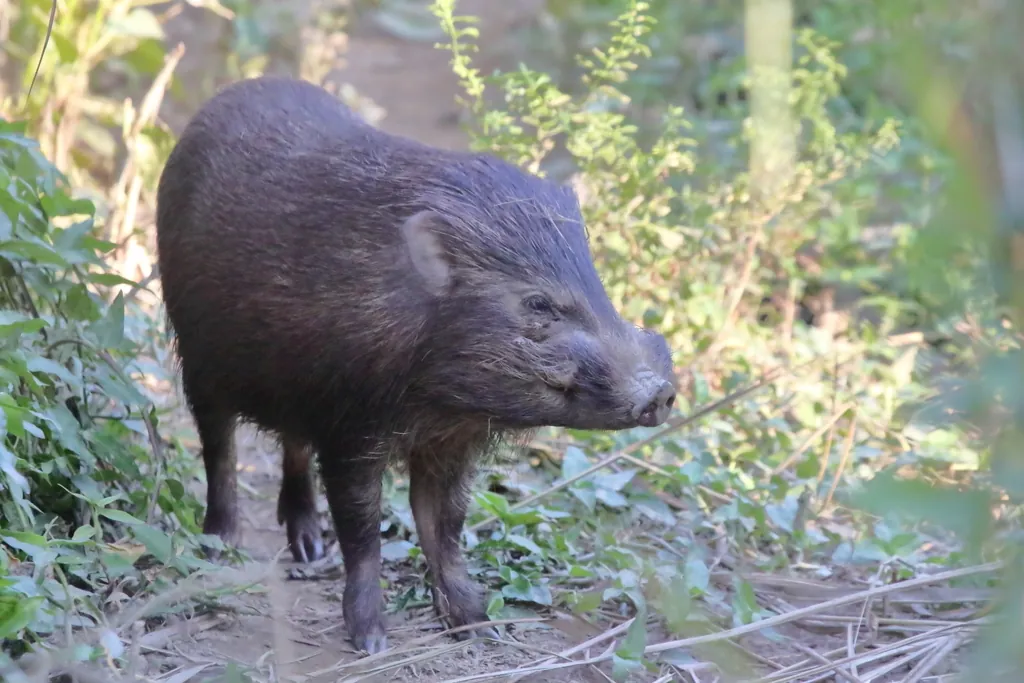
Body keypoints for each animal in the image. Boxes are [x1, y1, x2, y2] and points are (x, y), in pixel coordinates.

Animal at [155, 75, 677, 654]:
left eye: (599, 286)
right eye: (538, 304)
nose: (661, 391)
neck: (438, 399)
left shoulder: (448, 443)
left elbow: (443, 527)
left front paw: (479, 627)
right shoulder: (352, 429)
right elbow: (363, 529)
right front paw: (371, 642)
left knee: (291, 446)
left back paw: (310, 548)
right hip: (196, 356)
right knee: (218, 447)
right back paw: (220, 545)